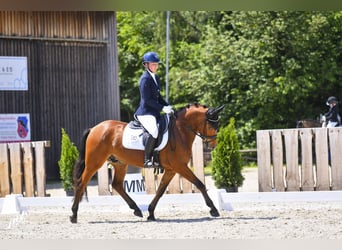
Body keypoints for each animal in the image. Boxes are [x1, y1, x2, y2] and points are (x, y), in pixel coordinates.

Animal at [70, 102, 224, 224]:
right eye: (212, 125)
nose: (213, 145)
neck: (180, 130)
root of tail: (94, 128)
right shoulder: (180, 166)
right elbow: (200, 184)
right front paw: (213, 209)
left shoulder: (172, 169)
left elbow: (160, 190)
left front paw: (150, 213)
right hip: (94, 163)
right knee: (81, 183)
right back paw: (73, 215)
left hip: (120, 163)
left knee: (117, 185)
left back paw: (137, 210)